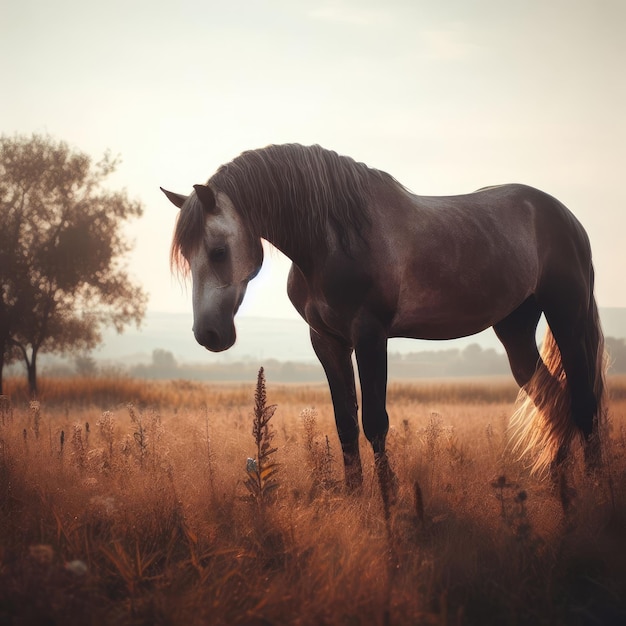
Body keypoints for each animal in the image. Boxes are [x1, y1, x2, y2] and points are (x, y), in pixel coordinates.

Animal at [162, 141, 604, 502]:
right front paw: (356, 499)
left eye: (218, 251)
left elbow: (375, 422)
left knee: (584, 400)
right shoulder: (327, 341)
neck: (334, 241)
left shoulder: (370, 335)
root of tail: (566, 217)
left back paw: (594, 488)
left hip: (566, 316)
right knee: (555, 398)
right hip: (515, 331)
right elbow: (345, 423)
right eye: (186, 255)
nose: (208, 333)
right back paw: (557, 482)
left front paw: (389, 499)